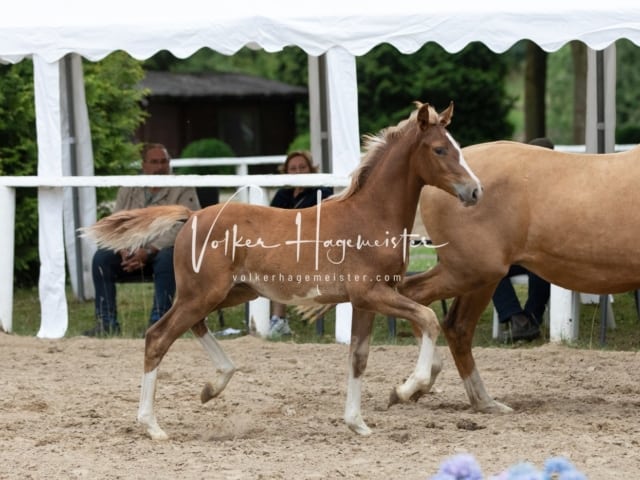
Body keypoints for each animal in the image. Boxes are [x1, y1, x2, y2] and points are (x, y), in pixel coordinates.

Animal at [81, 103, 480, 440]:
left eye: (457, 147)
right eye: (439, 150)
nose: (475, 191)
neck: (369, 216)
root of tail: (191, 216)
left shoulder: (367, 300)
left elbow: (360, 357)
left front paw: (358, 422)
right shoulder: (370, 293)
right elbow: (428, 318)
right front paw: (406, 388)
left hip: (230, 293)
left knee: (194, 327)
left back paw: (213, 387)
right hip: (203, 293)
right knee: (158, 337)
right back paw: (152, 425)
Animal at [400, 141, 640, 414]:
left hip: (480, 277)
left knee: (456, 326)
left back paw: (483, 401)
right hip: (471, 270)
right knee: (415, 295)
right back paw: (419, 382)